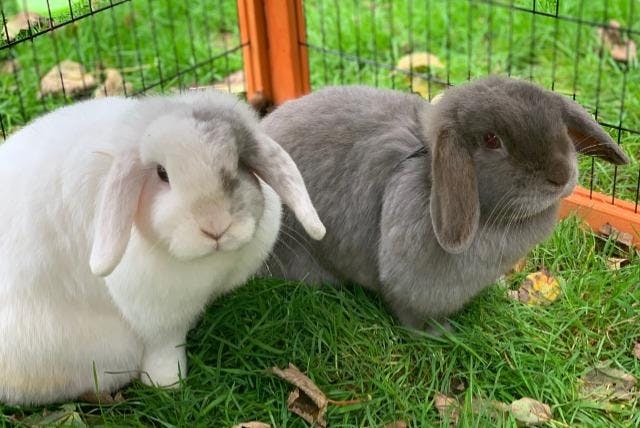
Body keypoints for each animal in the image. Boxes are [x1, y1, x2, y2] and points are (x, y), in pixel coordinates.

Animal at [0, 90, 325, 405]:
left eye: (238, 164)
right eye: (161, 173)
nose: (216, 227)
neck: (210, 262)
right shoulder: (158, 320)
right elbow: (164, 351)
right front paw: (169, 385)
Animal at [260, 76, 629, 331]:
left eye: (559, 125)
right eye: (492, 140)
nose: (561, 175)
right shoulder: (408, 285)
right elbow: (410, 313)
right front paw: (443, 333)